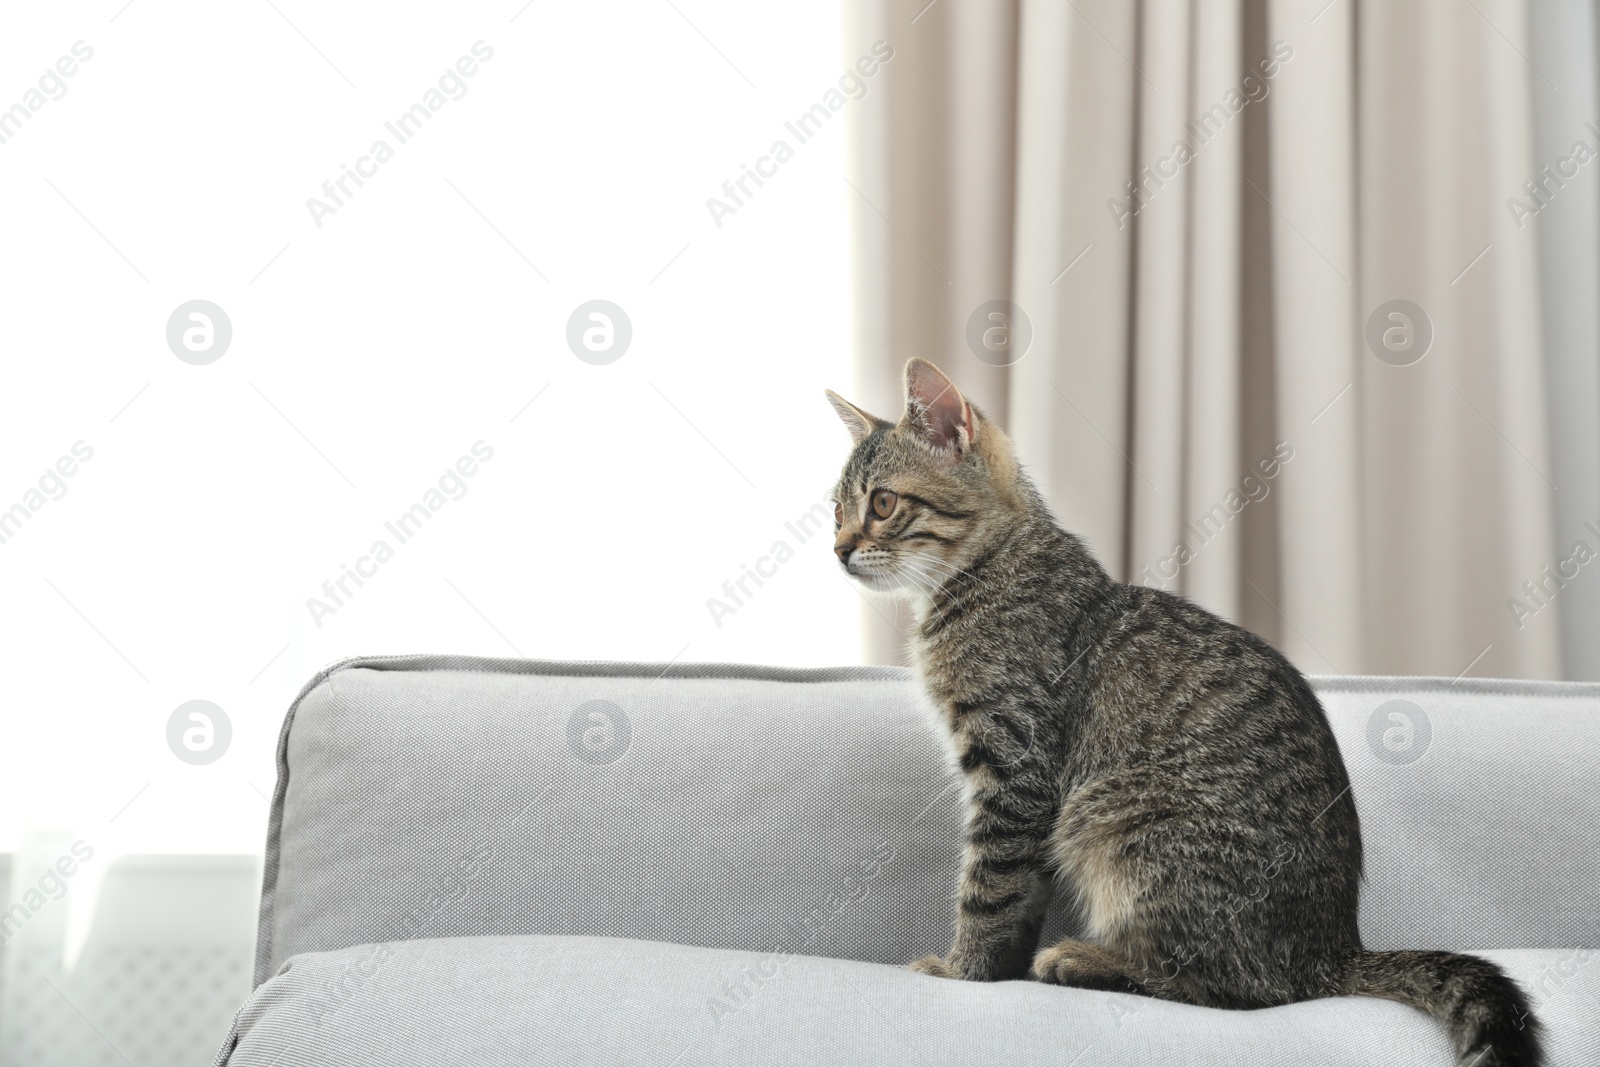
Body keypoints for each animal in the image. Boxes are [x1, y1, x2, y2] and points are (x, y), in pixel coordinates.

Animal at [825, 361, 1536, 1067]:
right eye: (835, 509)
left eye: (882, 504)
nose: (837, 549)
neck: (984, 568)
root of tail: (1332, 950)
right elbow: (1018, 898)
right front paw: (991, 967)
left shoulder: (1014, 764)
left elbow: (989, 888)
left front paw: (963, 971)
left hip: (1116, 818)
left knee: (1233, 988)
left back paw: (1086, 960)